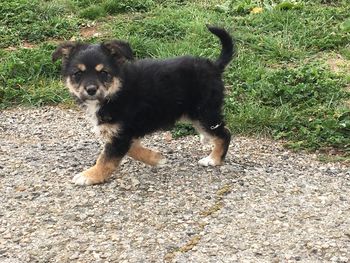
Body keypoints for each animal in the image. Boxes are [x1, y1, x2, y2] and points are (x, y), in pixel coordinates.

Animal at [52, 25, 235, 186]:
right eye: (78, 74)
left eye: (104, 73)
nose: (91, 90)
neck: (116, 92)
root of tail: (214, 66)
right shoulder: (123, 132)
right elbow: (131, 149)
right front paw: (156, 158)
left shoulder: (121, 133)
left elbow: (107, 158)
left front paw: (90, 176)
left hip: (204, 112)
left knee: (225, 133)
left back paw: (213, 159)